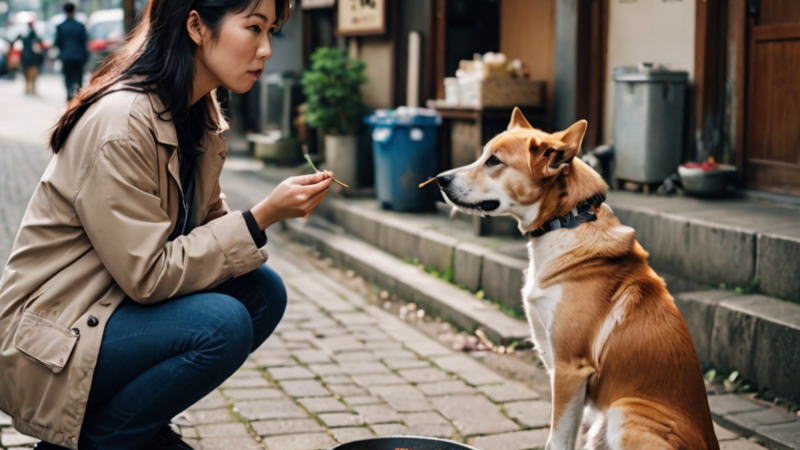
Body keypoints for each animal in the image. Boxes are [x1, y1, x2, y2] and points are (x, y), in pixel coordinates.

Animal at [434, 107, 720, 448]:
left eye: (494, 161)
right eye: (482, 155)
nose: (440, 179)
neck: (566, 220)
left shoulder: (570, 370)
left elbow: (556, 440)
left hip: (624, 413)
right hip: (601, 425)